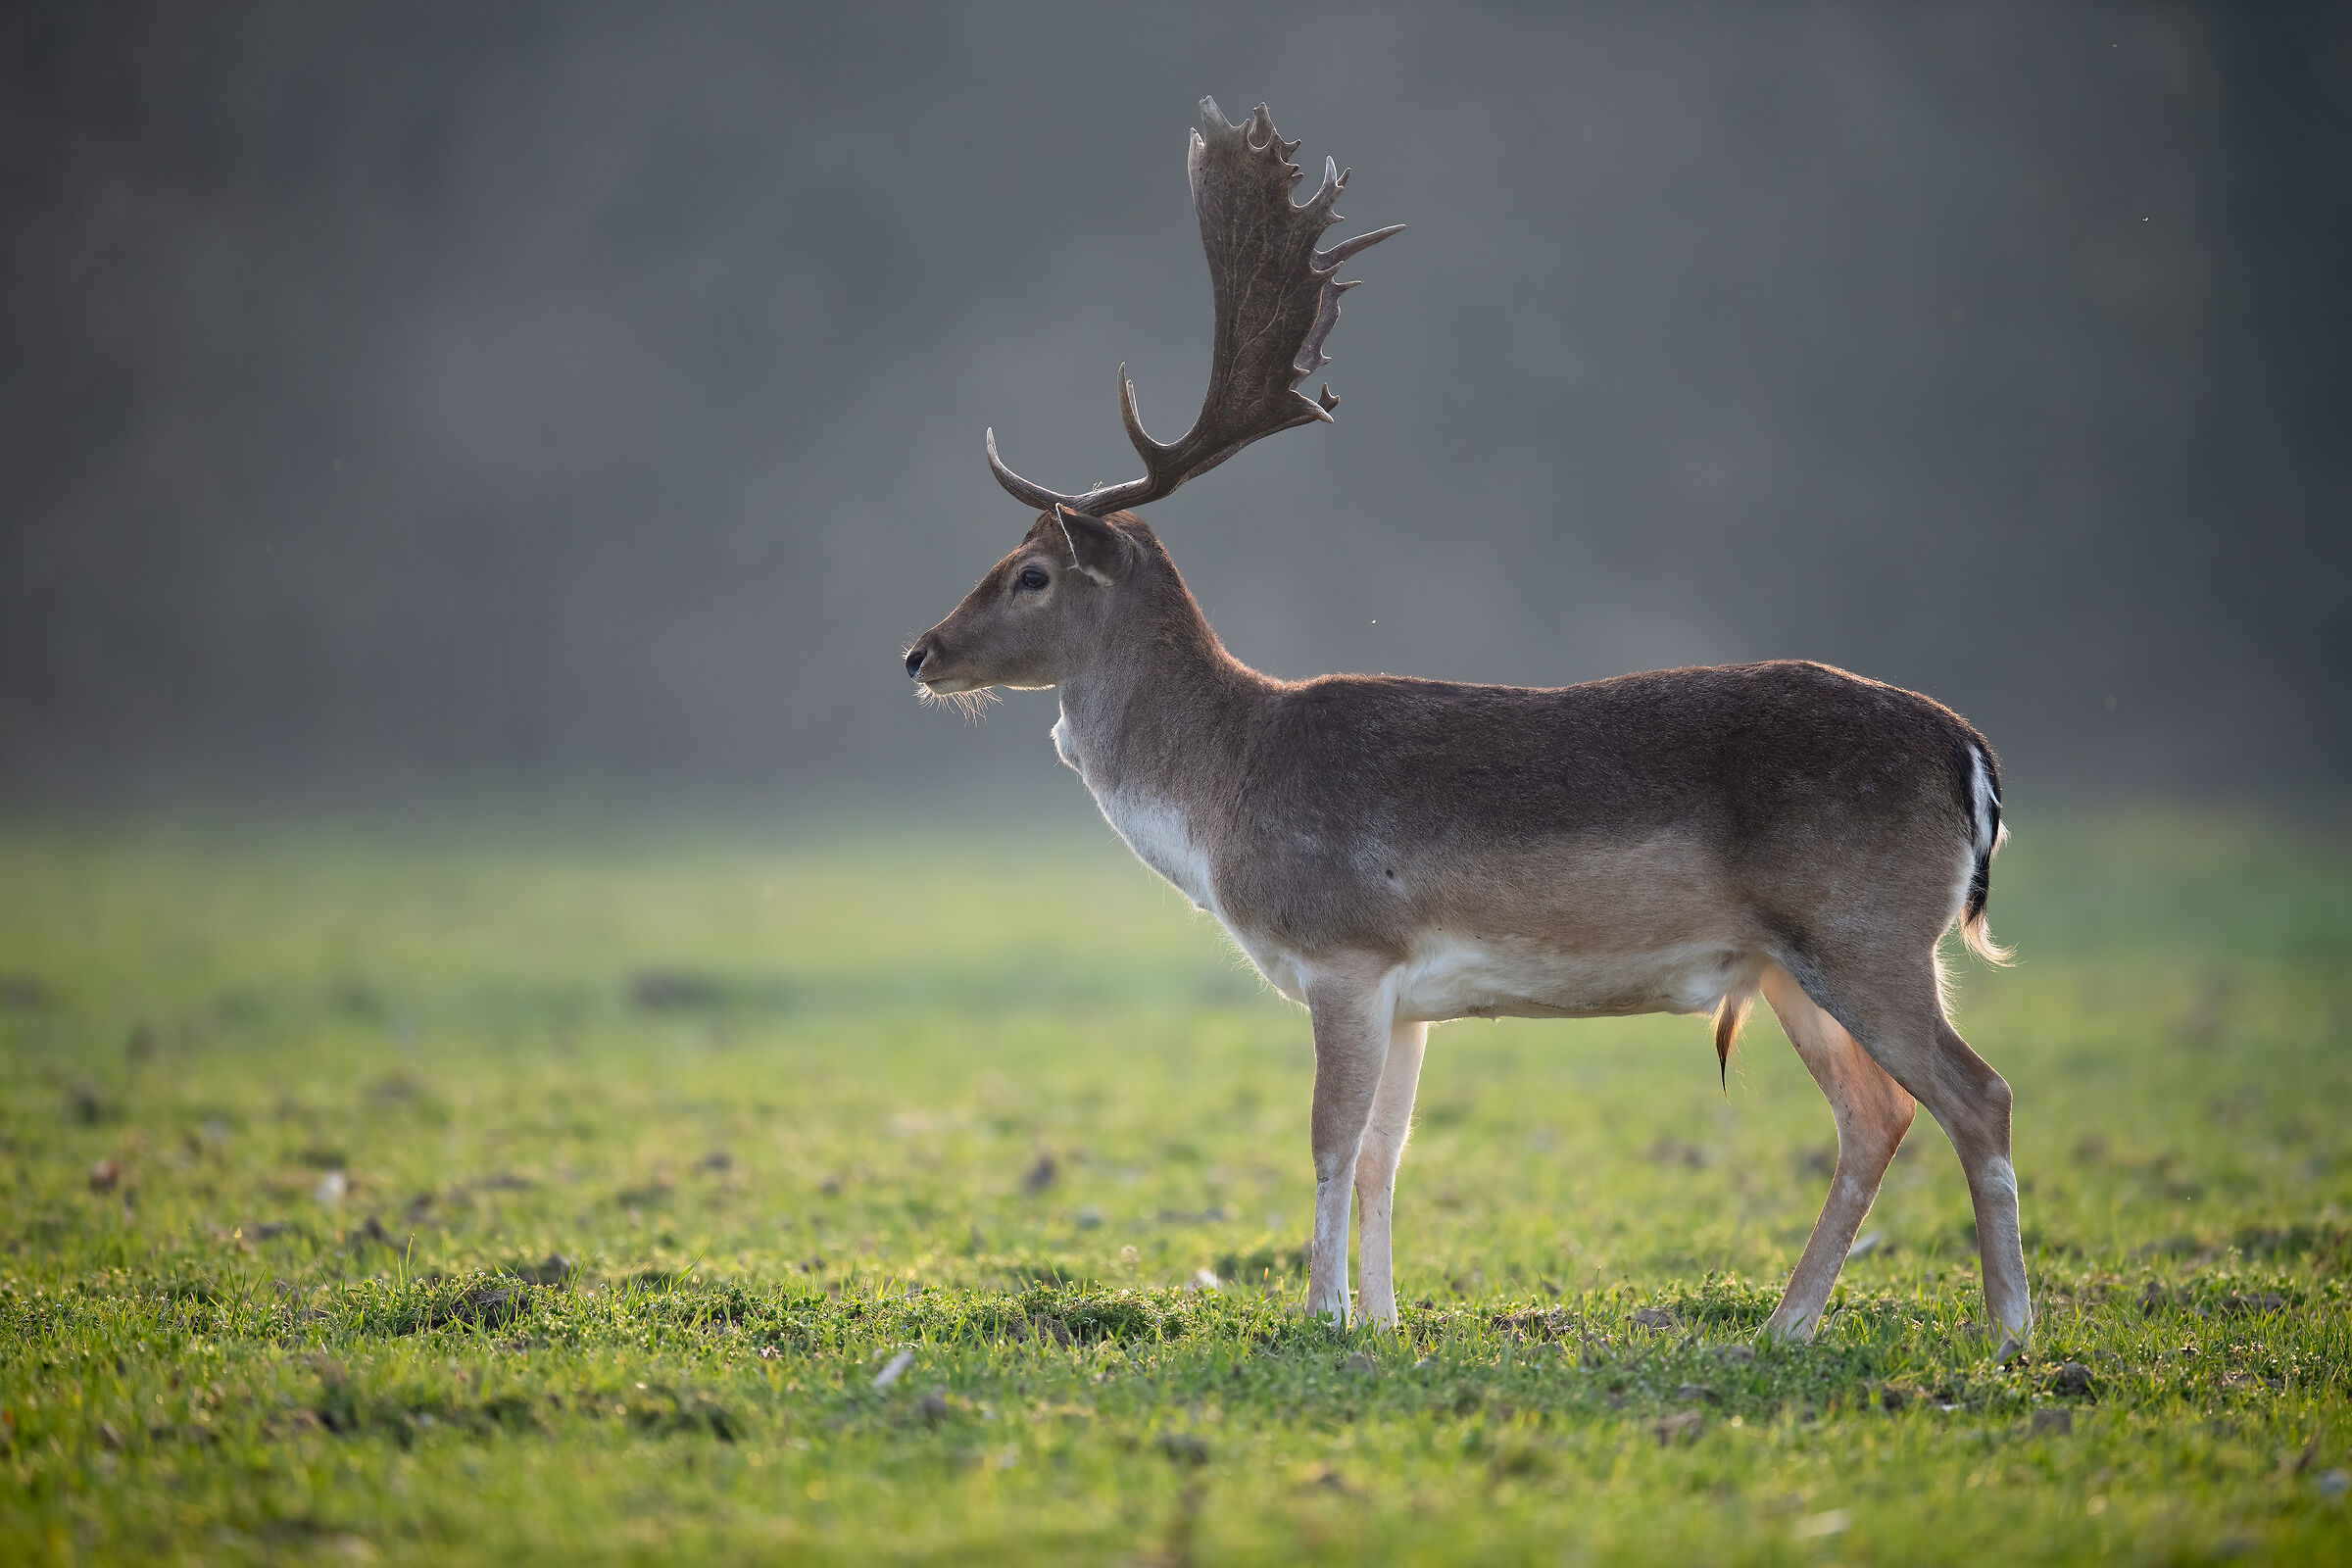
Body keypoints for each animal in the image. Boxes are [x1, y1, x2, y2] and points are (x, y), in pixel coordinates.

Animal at [904, 98, 2030, 1357]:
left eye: (1032, 574)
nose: (920, 653)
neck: (1221, 793)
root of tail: (1972, 756)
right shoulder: (1407, 992)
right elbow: (1387, 1154)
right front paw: (1384, 1319)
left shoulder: (1342, 948)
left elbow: (1330, 1141)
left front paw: (1319, 1313)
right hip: (1792, 963)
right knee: (1877, 1115)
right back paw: (1783, 1328)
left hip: (1869, 931)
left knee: (1979, 1094)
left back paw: (2008, 1332)